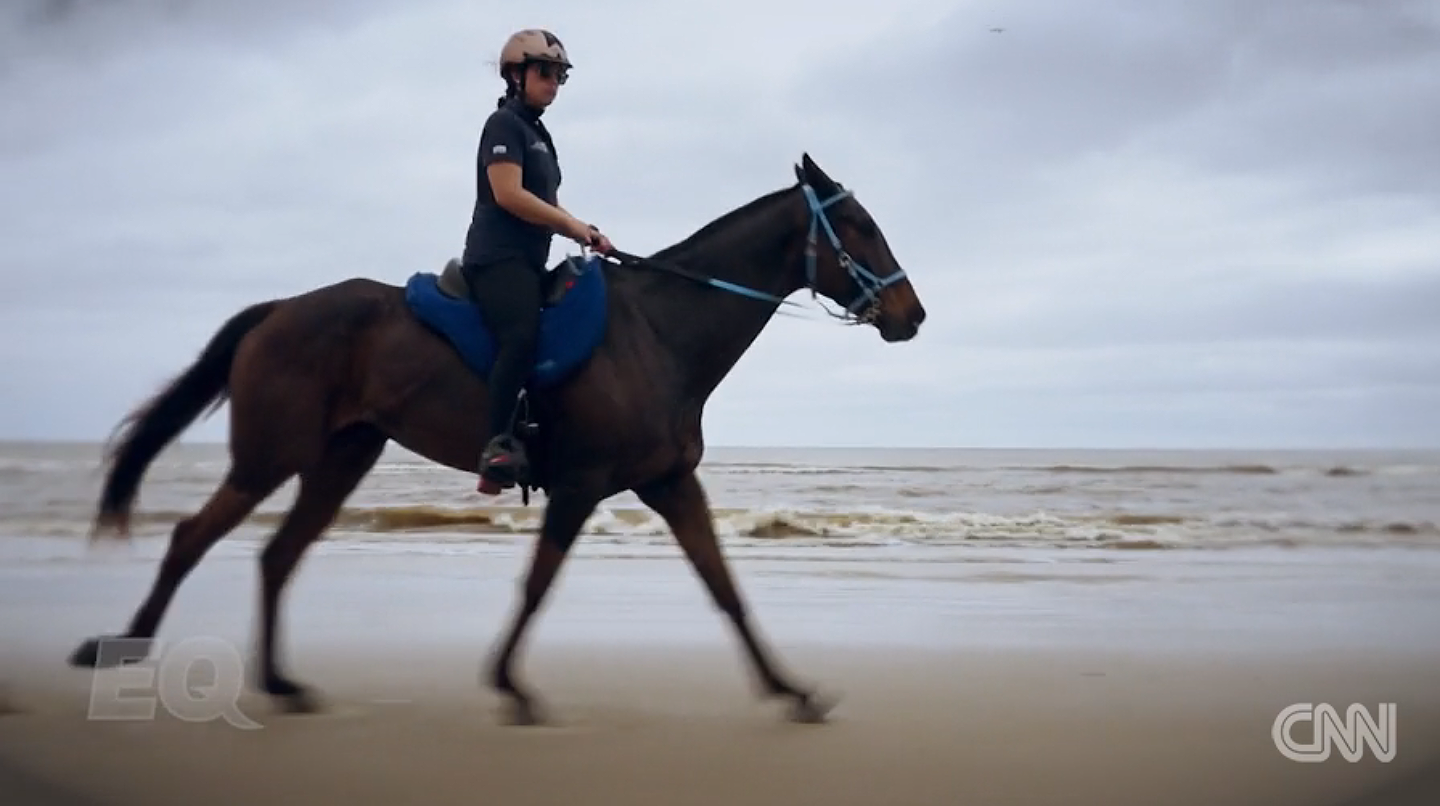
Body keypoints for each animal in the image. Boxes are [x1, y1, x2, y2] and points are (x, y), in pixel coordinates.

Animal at [67, 151, 927, 725]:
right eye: (859, 226)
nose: (911, 314)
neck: (657, 333)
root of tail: (279, 310)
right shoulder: (581, 486)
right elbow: (537, 586)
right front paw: (511, 685)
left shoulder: (670, 483)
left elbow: (724, 586)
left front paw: (794, 690)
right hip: (269, 456)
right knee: (193, 536)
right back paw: (124, 646)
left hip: (341, 458)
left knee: (278, 555)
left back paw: (281, 684)